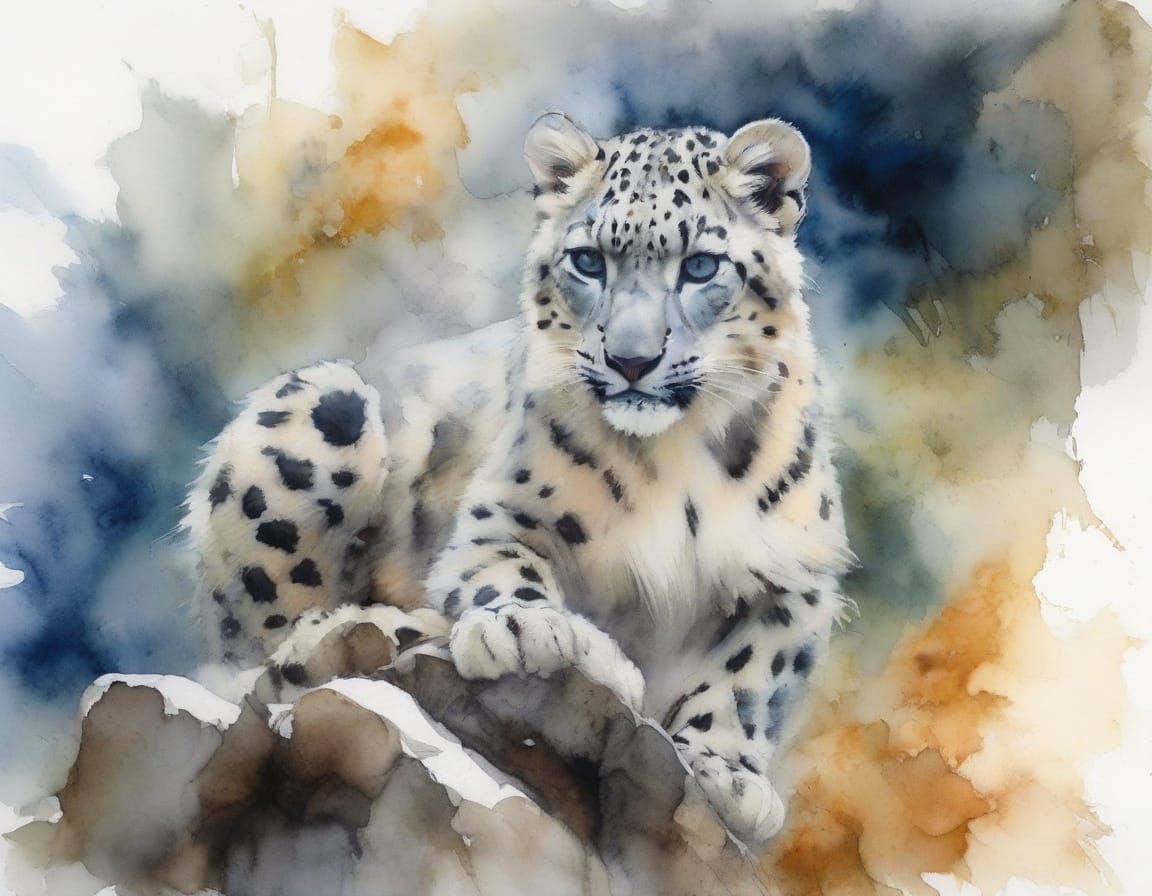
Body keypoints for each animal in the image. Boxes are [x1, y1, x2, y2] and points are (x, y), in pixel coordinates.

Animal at [184, 112, 854, 850]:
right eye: (589, 260)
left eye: (701, 266)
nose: (631, 361)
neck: (674, 462)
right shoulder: (504, 513)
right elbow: (500, 565)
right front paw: (521, 626)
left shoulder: (797, 573)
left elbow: (751, 675)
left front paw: (724, 773)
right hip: (325, 407)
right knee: (258, 654)